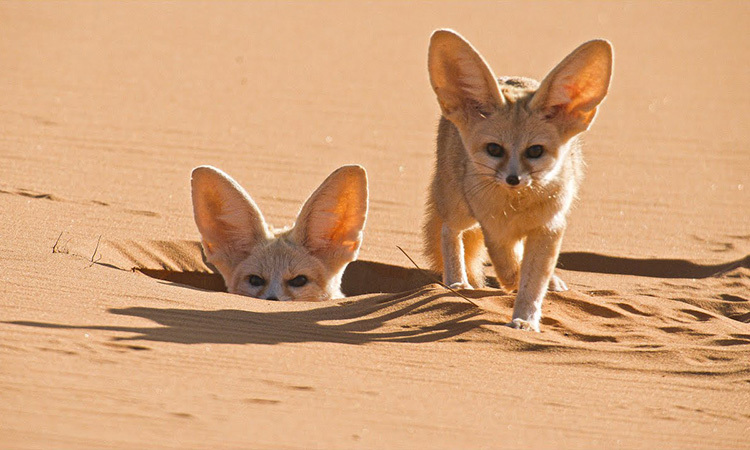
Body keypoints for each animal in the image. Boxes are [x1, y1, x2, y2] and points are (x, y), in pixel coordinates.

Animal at [426, 29, 612, 330]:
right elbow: (510, 267)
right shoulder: (495, 230)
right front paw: (512, 287)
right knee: (448, 230)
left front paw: (526, 319)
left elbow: (532, 279)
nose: (513, 179)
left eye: (535, 151)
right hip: (461, 210)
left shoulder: (549, 228)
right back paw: (457, 282)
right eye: (494, 149)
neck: (517, 207)